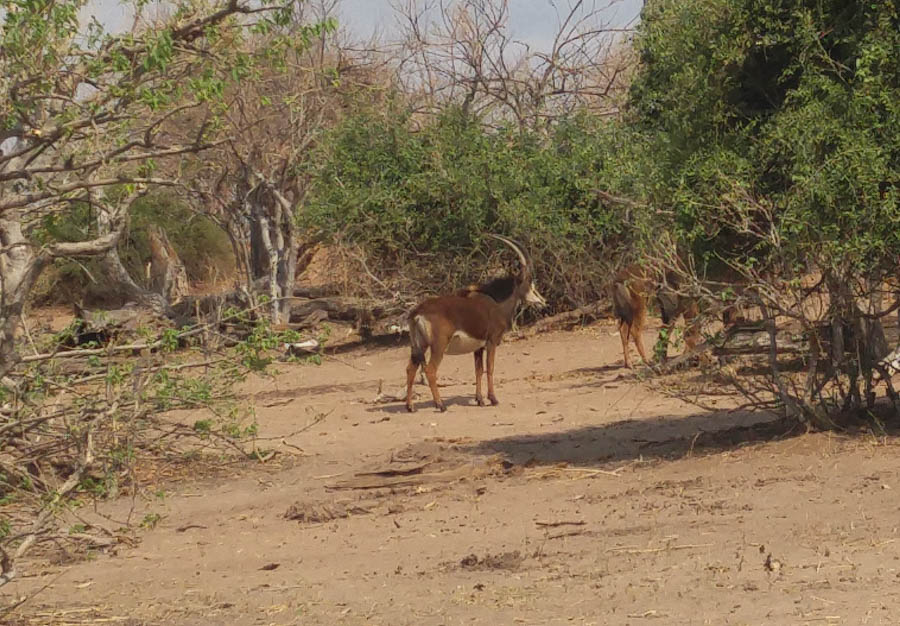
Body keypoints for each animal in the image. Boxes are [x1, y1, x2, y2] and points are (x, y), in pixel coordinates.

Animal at [408, 234, 548, 410]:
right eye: (529, 281)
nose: (543, 301)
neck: (496, 303)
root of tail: (417, 312)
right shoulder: (491, 341)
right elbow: (490, 368)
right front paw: (493, 399)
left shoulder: (478, 347)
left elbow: (478, 370)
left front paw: (480, 400)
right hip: (438, 346)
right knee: (430, 370)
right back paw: (440, 405)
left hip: (419, 346)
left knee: (410, 369)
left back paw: (410, 406)